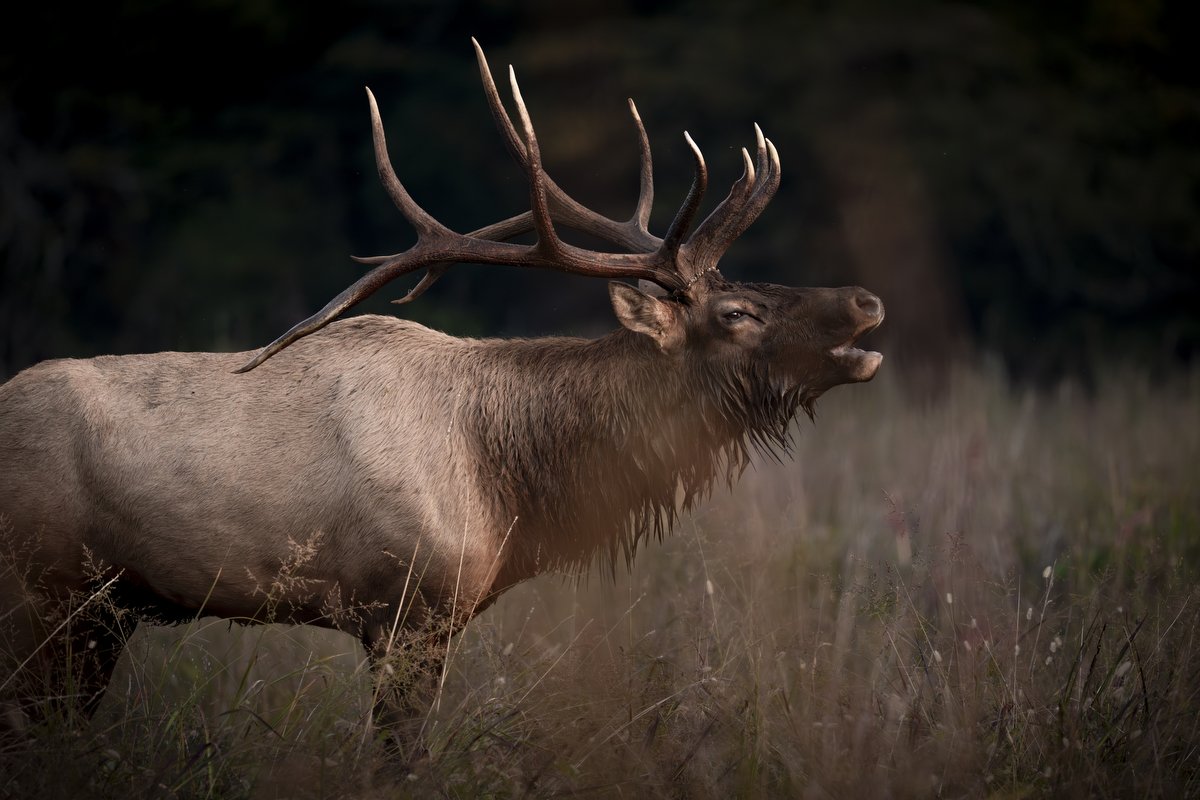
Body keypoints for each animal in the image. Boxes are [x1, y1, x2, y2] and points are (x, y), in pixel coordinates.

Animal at [0, 40, 883, 744]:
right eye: (735, 312)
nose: (866, 301)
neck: (511, 489)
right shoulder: (405, 610)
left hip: (100, 615)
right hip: (41, 592)